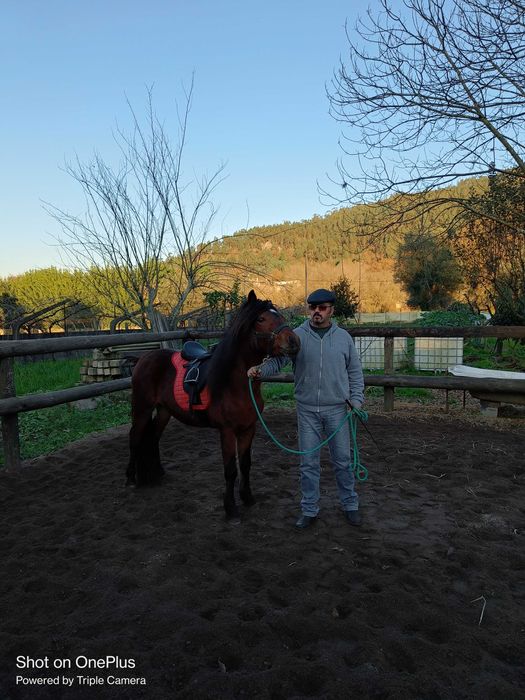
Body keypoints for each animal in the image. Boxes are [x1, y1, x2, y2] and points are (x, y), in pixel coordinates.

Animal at [126, 290, 300, 519]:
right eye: (261, 319)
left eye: (278, 314)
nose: (294, 341)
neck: (235, 382)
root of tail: (143, 357)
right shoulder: (226, 431)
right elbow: (231, 469)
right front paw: (231, 507)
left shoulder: (248, 428)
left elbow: (245, 464)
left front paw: (247, 497)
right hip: (142, 409)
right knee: (135, 438)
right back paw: (131, 479)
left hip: (164, 411)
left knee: (153, 437)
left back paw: (157, 473)